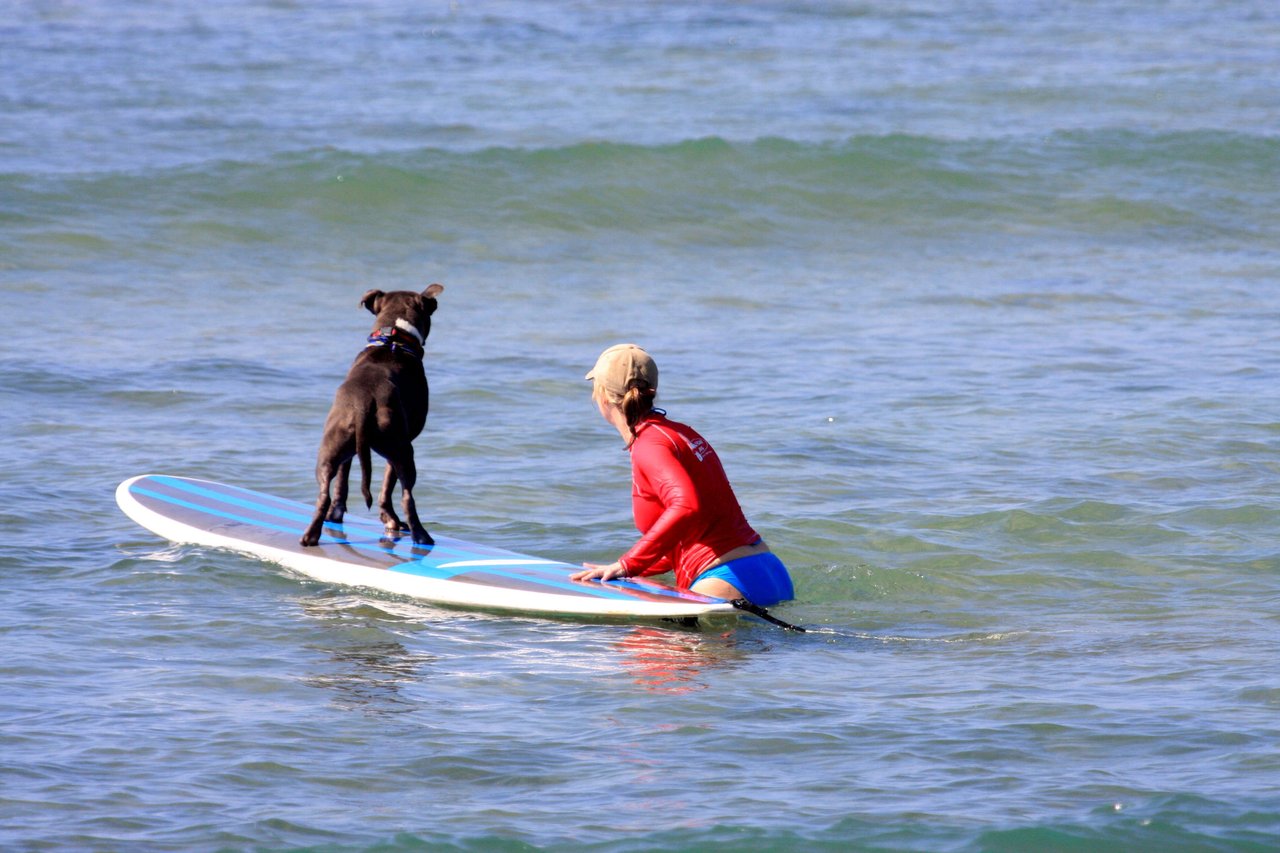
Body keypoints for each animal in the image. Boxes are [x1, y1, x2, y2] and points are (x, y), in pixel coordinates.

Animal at [300, 280, 445, 545]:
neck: (393, 337)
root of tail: (363, 404)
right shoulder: (404, 443)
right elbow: (387, 486)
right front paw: (390, 519)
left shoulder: (349, 454)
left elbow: (343, 481)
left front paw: (336, 513)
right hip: (402, 450)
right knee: (407, 496)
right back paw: (419, 534)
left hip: (330, 449)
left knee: (324, 493)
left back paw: (311, 535)